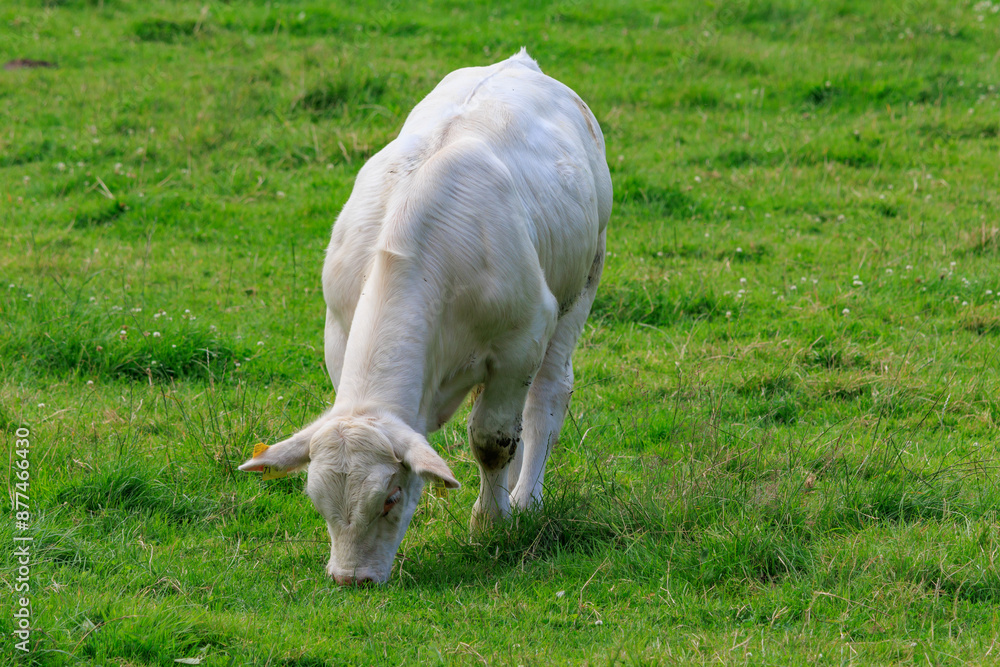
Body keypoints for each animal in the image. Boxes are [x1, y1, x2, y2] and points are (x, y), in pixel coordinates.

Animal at [239, 49, 612, 585]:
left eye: (390, 497)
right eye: (317, 502)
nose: (351, 579)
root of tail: (520, 62)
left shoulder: (521, 340)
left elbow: (493, 440)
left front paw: (491, 522)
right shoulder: (339, 337)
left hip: (583, 282)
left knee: (545, 398)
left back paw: (525, 499)